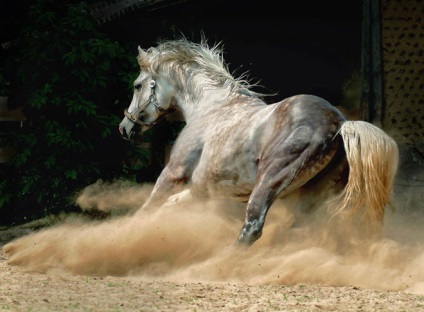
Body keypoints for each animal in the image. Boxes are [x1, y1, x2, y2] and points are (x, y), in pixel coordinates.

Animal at [117, 38, 400, 246]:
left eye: (137, 85)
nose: (124, 128)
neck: (211, 108)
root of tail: (340, 124)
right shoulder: (202, 191)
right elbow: (168, 206)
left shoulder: (173, 173)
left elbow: (149, 207)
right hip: (310, 196)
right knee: (294, 229)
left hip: (269, 181)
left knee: (252, 228)